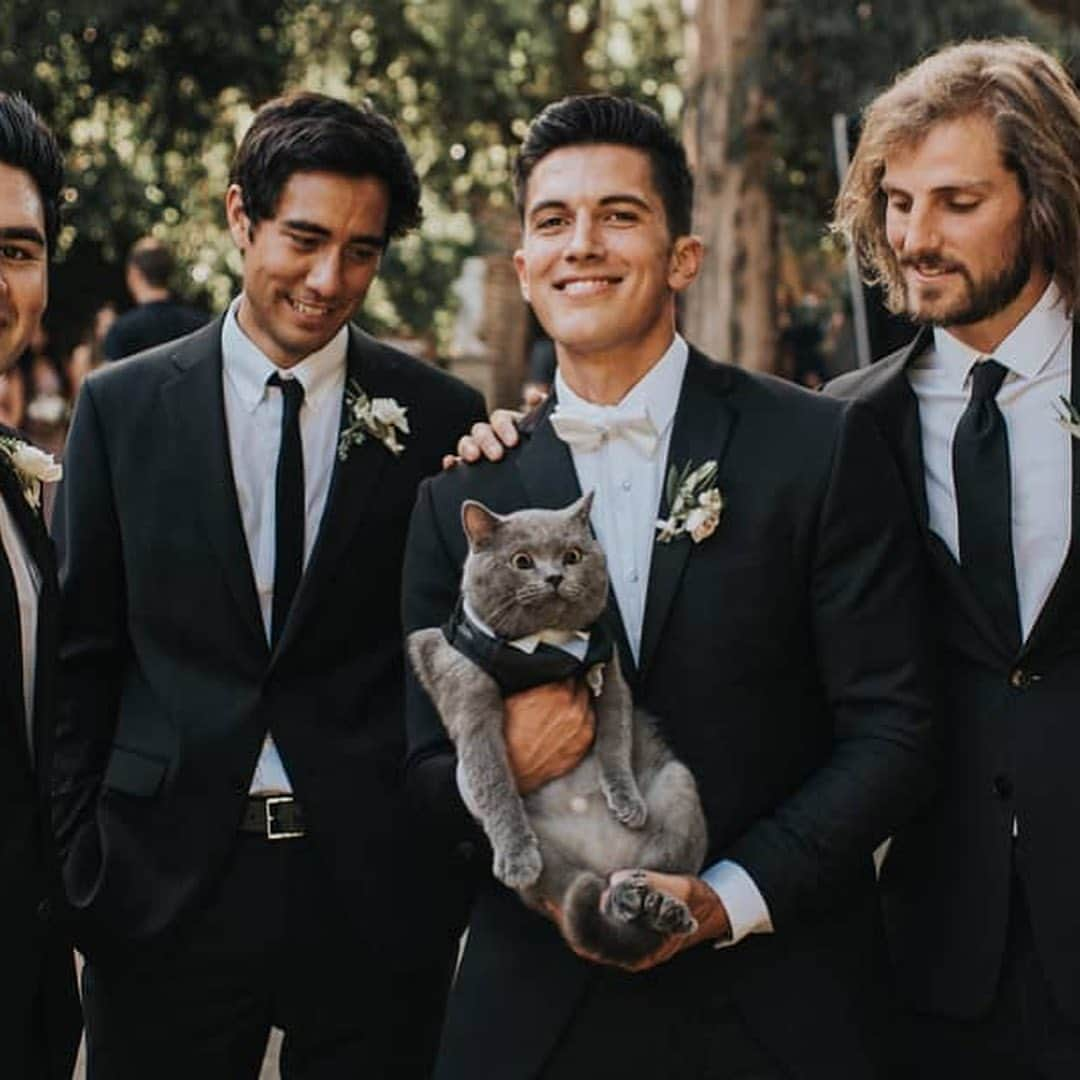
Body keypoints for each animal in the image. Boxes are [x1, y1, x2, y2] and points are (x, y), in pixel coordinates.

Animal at [406, 494, 708, 967]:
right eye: (521, 561)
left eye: (573, 556)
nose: (554, 576)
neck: (544, 651)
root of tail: (603, 864)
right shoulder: (468, 696)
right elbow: (490, 779)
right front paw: (516, 857)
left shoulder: (609, 672)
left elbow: (615, 740)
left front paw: (627, 803)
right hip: (553, 865)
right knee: (576, 889)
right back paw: (624, 899)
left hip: (678, 788)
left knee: (656, 870)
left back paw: (658, 906)